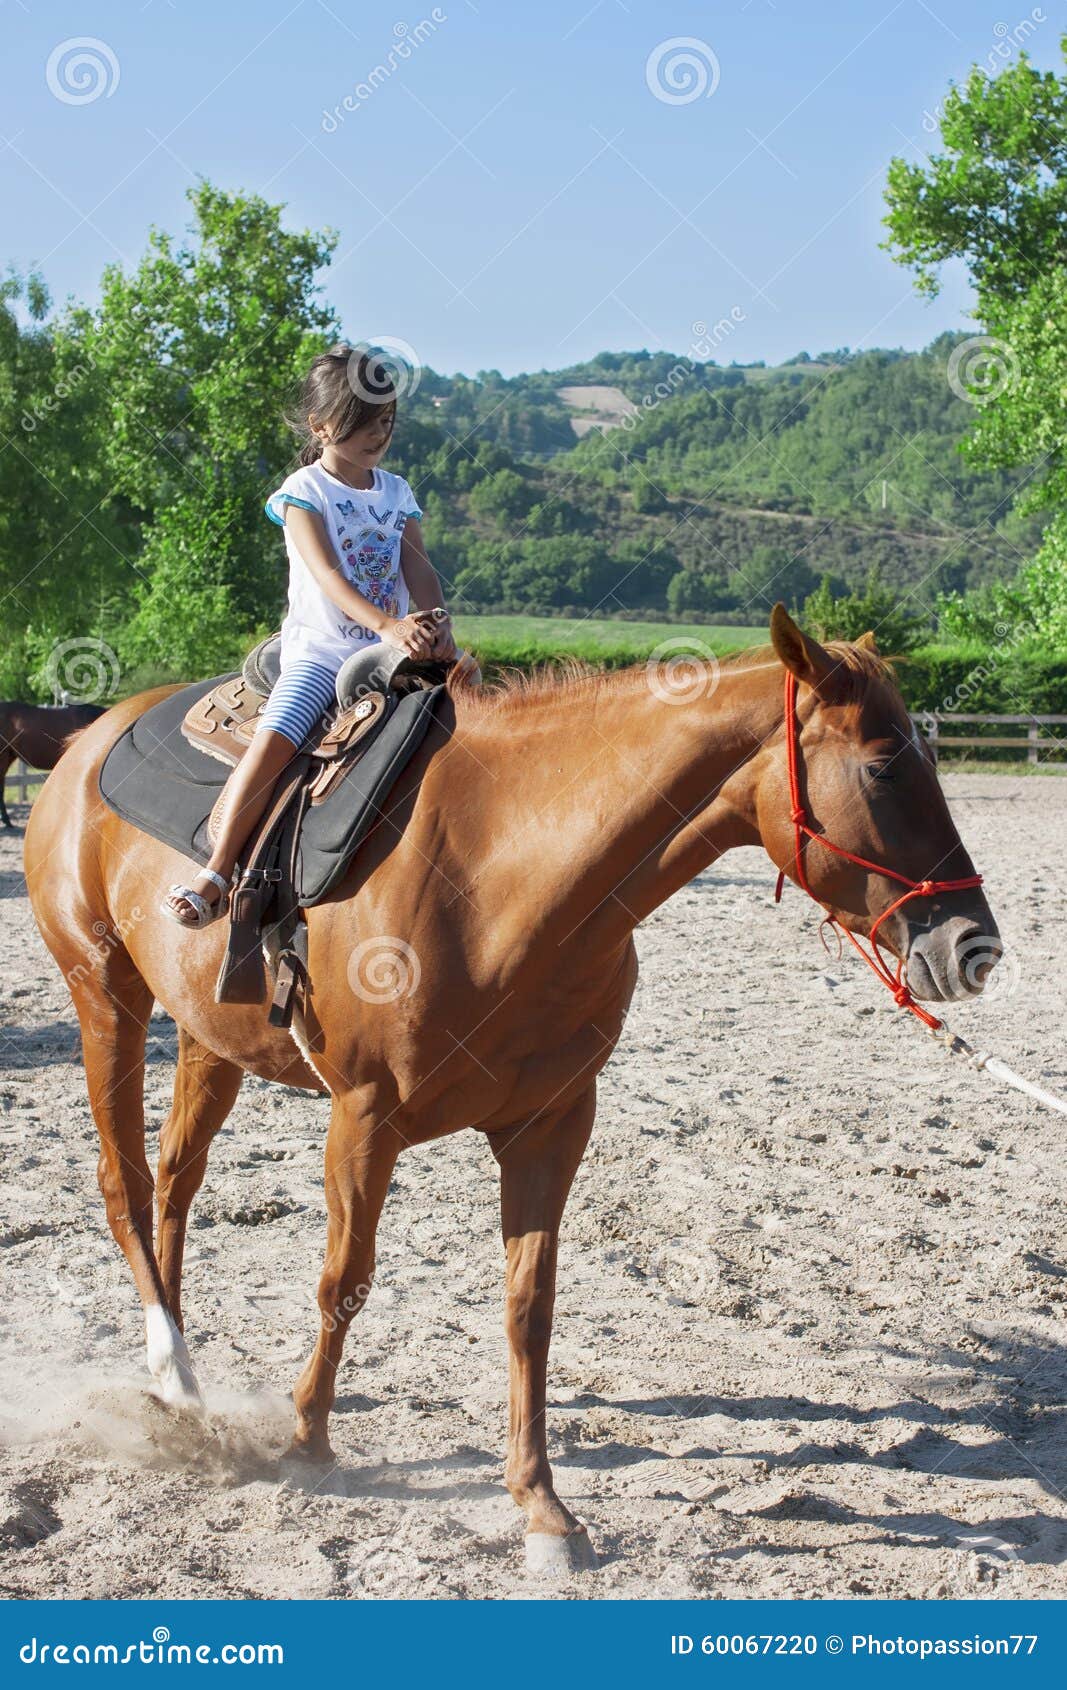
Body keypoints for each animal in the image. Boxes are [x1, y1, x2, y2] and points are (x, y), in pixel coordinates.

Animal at [20, 608, 1001, 1568]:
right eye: (881, 766)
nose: (972, 946)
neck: (497, 876)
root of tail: (86, 739)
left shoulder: (551, 1125)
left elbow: (530, 1305)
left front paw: (541, 1505)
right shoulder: (363, 1118)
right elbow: (344, 1281)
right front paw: (306, 1444)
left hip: (205, 1036)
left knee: (176, 1181)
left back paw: (175, 1372)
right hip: (106, 997)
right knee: (123, 1182)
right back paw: (172, 1365)